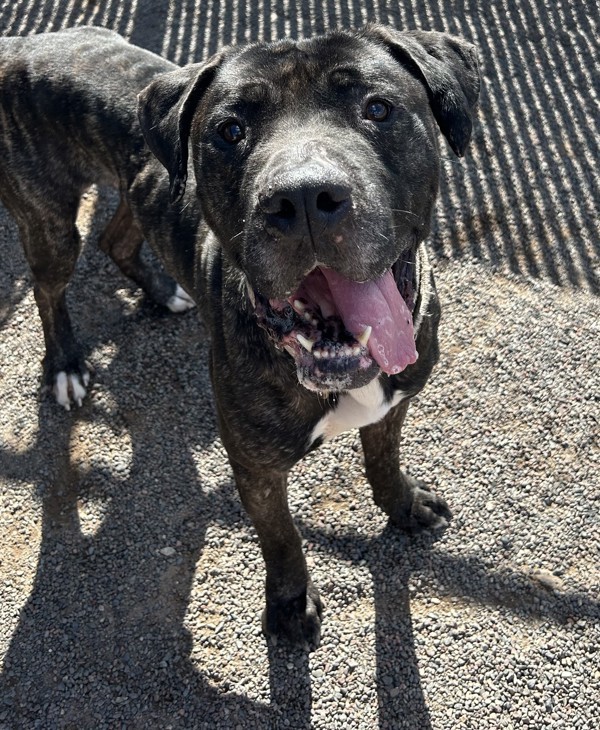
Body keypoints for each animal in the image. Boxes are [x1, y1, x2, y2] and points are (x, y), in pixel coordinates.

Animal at [0, 25, 478, 644]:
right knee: (48, 288)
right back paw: (65, 363)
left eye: (377, 108)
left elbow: (384, 461)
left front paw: (405, 505)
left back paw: (164, 293)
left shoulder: (392, 405)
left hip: (136, 188)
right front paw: (291, 604)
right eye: (230, 131)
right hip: (50, 223)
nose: (303, 197)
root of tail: (23, 43)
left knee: (117, 236)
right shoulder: (255, 468)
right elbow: (282, 538)